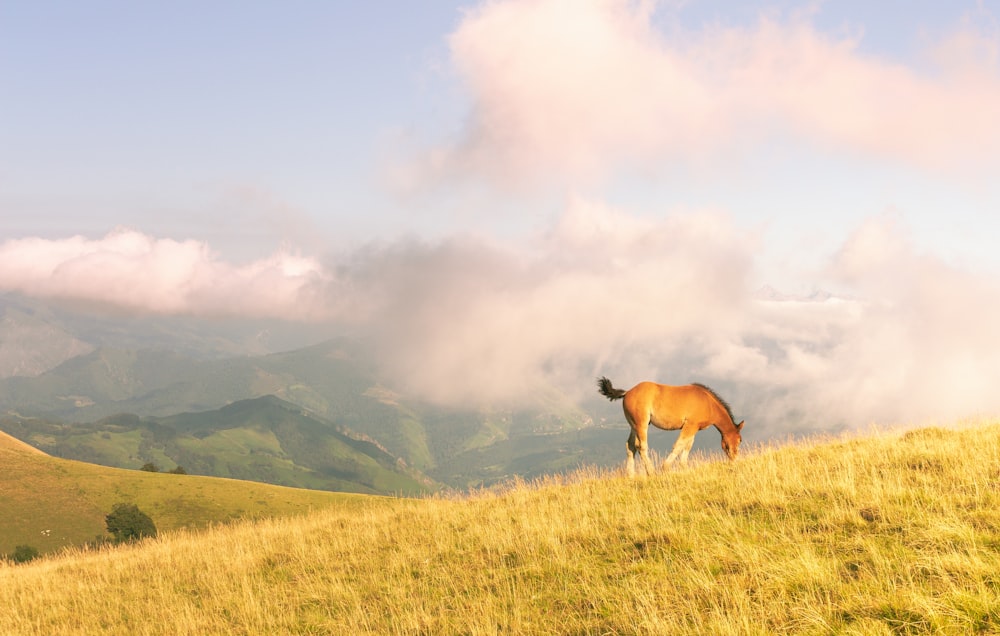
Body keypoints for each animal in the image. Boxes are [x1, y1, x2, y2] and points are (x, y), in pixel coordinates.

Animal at [592, 376, 744, 474]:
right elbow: (678, 445)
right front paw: (665, 467)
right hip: (642, 424)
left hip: (633, 425)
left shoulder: (694, 428)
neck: (708, 402)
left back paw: (631, 475)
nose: (735, 459)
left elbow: (687, 447)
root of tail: (627, 392)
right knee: (641, 447)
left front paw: (684, 467)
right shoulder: (690, 425)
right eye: (739, 440)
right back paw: (651, 472)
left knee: (630, 446)